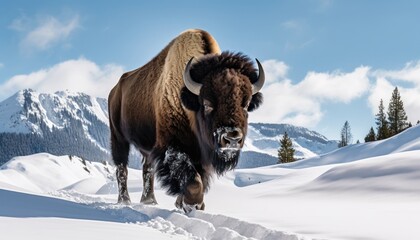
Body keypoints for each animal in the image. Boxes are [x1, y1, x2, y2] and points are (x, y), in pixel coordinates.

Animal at [109, 28, 266, 212]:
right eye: (207, 104)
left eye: (246, 104)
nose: (232, 138)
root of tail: (115, 90)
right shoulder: (172, 146)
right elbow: (192, 179)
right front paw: (192, 204)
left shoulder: (201, 154)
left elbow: (198, 177)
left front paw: (186, 203)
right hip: (118, 138)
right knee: (122, 169)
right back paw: (124, 201)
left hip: (147, 148)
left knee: (148, 169)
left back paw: (149, 201)